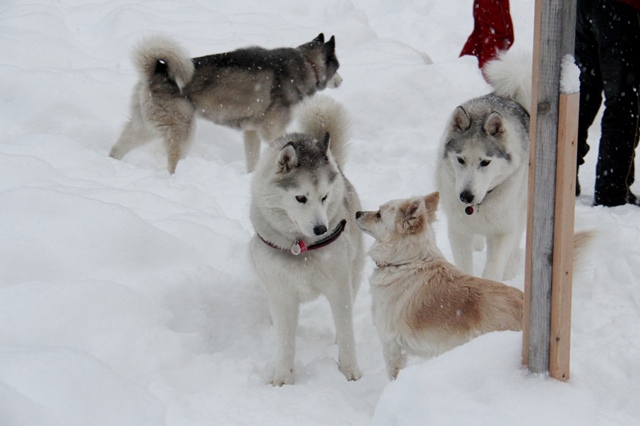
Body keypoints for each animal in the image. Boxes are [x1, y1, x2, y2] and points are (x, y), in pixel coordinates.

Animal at [356, 193, 592, 380]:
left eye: (378, 214)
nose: (357, 212)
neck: (406, 262)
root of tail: (524, 302)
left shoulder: (391, 345)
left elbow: (393, 376)